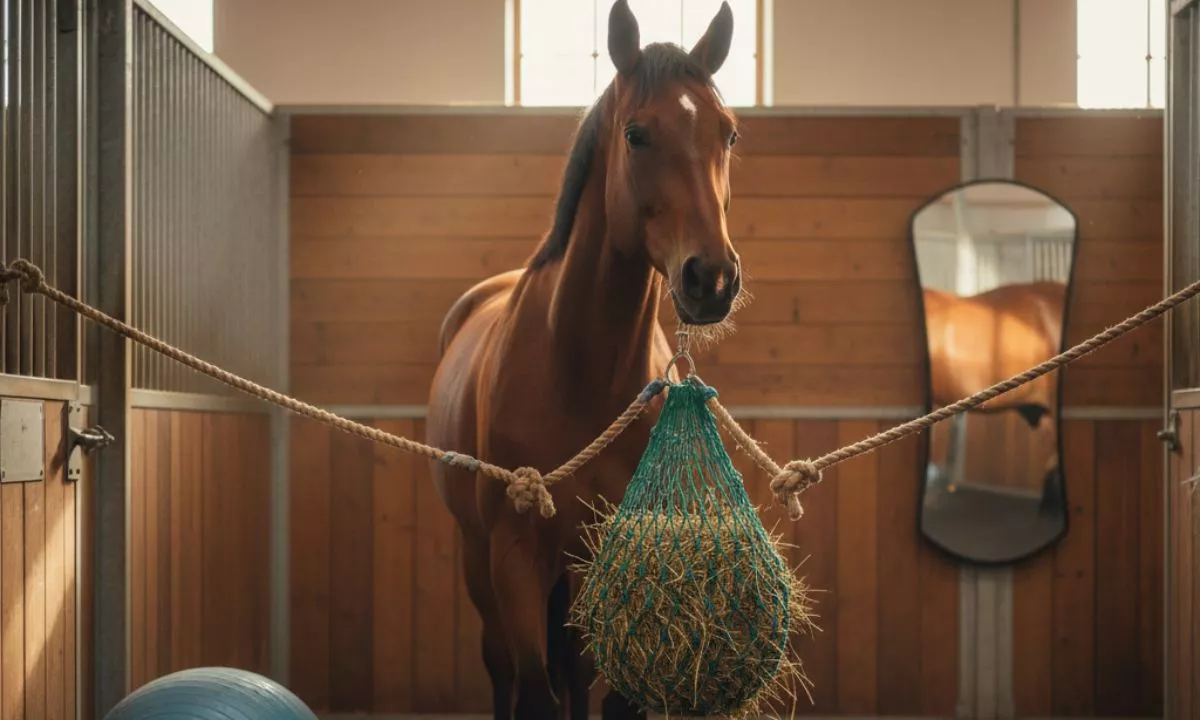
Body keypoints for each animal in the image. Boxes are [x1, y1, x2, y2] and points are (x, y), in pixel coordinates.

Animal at [425, 2, 744, 719]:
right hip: (477, 556)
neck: (578, 371)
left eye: (730, 134)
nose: (711, 277)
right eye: (637, 134)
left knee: (571, 666)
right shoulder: (515, 556)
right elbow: (534, 693)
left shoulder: (615, 559)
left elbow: (608, 695)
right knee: (503, 668)